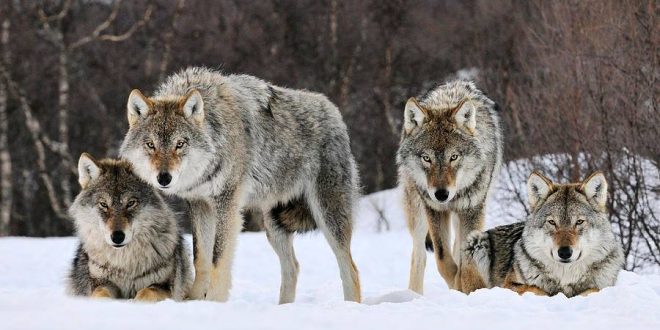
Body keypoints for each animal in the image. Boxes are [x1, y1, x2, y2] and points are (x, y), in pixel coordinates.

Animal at [66, 154, 191, 302]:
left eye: (131, 203)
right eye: (103, 204)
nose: (117, 237)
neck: (125, 264)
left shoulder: (164, 286)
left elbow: (146, 293)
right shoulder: (100, 282)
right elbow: (100, 294)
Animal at [121, 67, 364, 304]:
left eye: (180, 144)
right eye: (150, 145)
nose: (164, 178)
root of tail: (334, 112)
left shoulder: (227, 204)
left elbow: (218, 259)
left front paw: (215, 302)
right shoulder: (200, 204)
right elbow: (201, 259)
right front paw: (195, 300)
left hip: (327, 216)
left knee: (350, 269)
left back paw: (350, 306)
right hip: (273, 225)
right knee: (293, 267)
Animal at [398, 80, 500, 294]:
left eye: (454, 157)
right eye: (426, 158)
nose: (441, 194)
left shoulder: (472, 210)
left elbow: (465, 260)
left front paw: (466, 288)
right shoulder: (435, 210)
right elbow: (443, 259)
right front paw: (456, 285)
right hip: (418, 214)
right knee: (419, 256)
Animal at [458, 170, 624, 296]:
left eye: (579, 222)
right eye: (552, 222)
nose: (564, 252)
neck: (565, 277)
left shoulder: (603, 286)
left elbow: (593, 289)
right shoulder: (508, 285)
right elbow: (536, 288)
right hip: (476, 241)